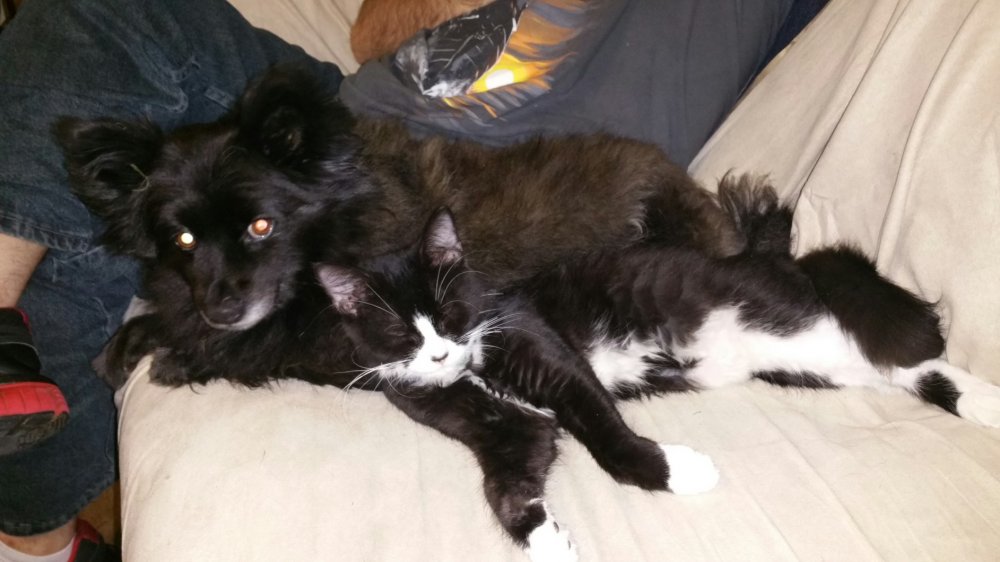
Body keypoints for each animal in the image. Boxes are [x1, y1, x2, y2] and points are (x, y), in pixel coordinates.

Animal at [315, 179, 1000, 560]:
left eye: (449, 310)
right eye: (402, 332)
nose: (440, 352)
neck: (474, 371)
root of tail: (776, 258)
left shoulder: (550, 356)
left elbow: (609, 441)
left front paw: (681, 471)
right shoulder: (501, 428)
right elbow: (505, 487)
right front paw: (548, 541)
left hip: (791, 320)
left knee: (897, 346)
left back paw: (986, 398)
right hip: (805, 359)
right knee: (895, 369)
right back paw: (982, 404)